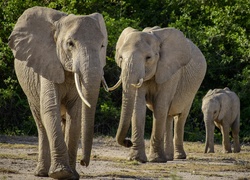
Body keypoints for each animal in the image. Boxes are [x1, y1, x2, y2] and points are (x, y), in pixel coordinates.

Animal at [7, 6, 107, 179]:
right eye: (70, 44)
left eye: (102, 45)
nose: (83, 162)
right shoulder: (47, 63)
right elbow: (50, 108)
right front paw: (61, 173)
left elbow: (76, 114)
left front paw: (71, 174)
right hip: (30, 91)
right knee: (40, 122)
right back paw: (41, 173)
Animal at [109, 26, 207, 163]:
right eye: (121, 58)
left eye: (148, 58)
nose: (128, 142)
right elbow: (138, 106)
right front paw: (136, 159)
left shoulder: (171, 71)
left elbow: (160, 106)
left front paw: (156, 160)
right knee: (168, 116)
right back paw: (169, 157)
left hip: (192, 89)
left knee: (180, 117)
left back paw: (178, 157)